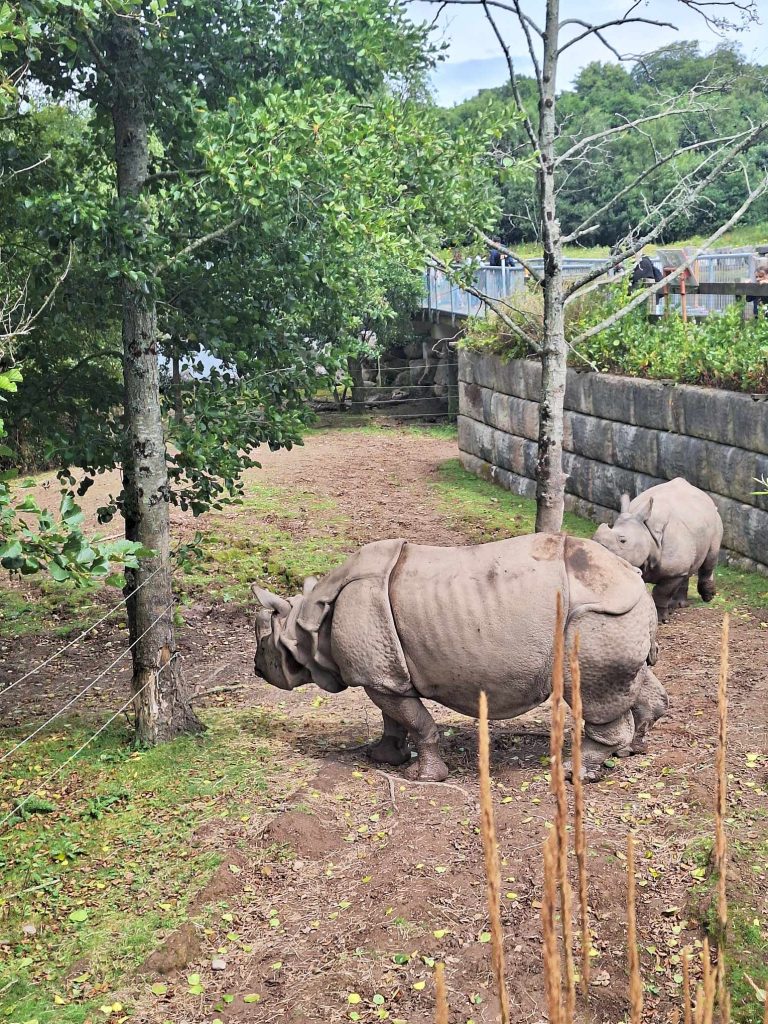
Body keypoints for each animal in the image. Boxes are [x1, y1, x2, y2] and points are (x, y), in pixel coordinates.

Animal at [252, 532, 667, 778]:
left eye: (264, 644)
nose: (256, 669)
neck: (305, 623)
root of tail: (630, 575)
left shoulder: (380, 676)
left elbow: (416, 722)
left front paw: (423, 777)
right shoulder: (385, 675)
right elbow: (392, 718)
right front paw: (382, 757)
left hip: (594, 616)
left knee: (589, 694)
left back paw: (572, 772)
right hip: (618, 616)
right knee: (631, 683)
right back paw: (631, 751)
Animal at [593, 479, 720, 622]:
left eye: (623, 541)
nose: (597, 547)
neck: (647, 533)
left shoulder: (673, 573)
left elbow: (661, 593)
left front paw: (661, 619)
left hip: (716, 520)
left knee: (709, 560)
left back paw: (707, 596)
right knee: (688, 567)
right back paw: (679, 605)